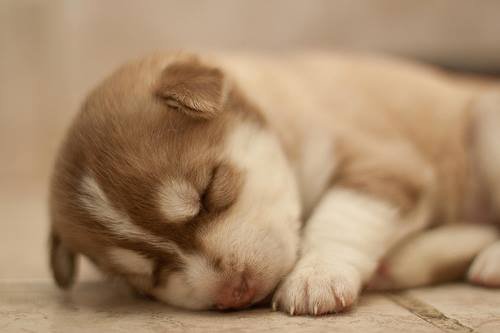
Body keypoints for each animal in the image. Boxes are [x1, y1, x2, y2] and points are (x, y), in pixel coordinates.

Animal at [48, 51, 500, 314]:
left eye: (210, 193)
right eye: (146, 276)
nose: (234, 291)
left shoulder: (385, 164)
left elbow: (342, 215)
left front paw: (316, 276)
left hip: (486, 128)